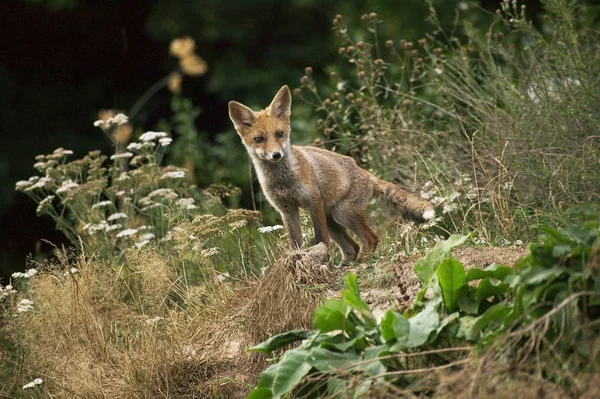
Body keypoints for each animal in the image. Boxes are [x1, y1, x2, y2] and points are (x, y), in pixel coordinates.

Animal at [227, 86, 434, 264]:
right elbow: (296, 243)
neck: (282, 180)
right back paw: (346, 264)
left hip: (342, 213)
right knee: (353, 246)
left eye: (279, 134)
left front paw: (322, 261)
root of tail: (366, 173)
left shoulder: (313, 201)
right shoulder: (286, 209)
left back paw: (363, 261)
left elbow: (320, 239)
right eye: (259, 139)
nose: (276, 155)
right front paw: (299, 262)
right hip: (332, 218)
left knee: (371, 239)